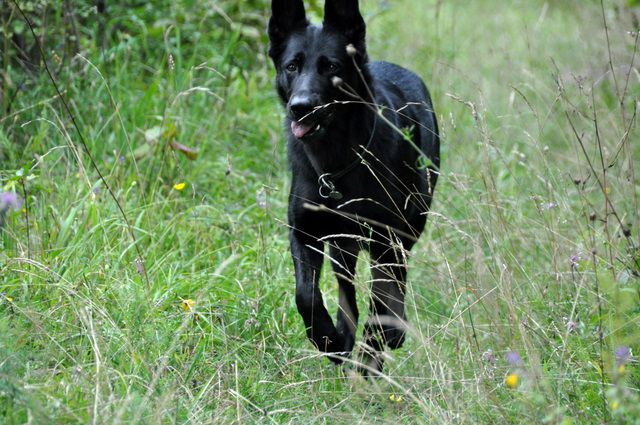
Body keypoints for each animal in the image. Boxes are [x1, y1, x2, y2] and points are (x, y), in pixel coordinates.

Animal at [266, 0, 440, 372]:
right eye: (292, 66)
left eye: (331, 66)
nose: (300, 107)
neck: (337, 164)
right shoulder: (305, 232)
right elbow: (306, 295)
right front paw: (327, 339)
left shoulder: (388, 238)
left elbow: (383, 299)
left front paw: (373, 354)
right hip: (342, 243)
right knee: (347, 290)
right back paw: (344, 337)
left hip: (402, 232)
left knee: (390, 286)